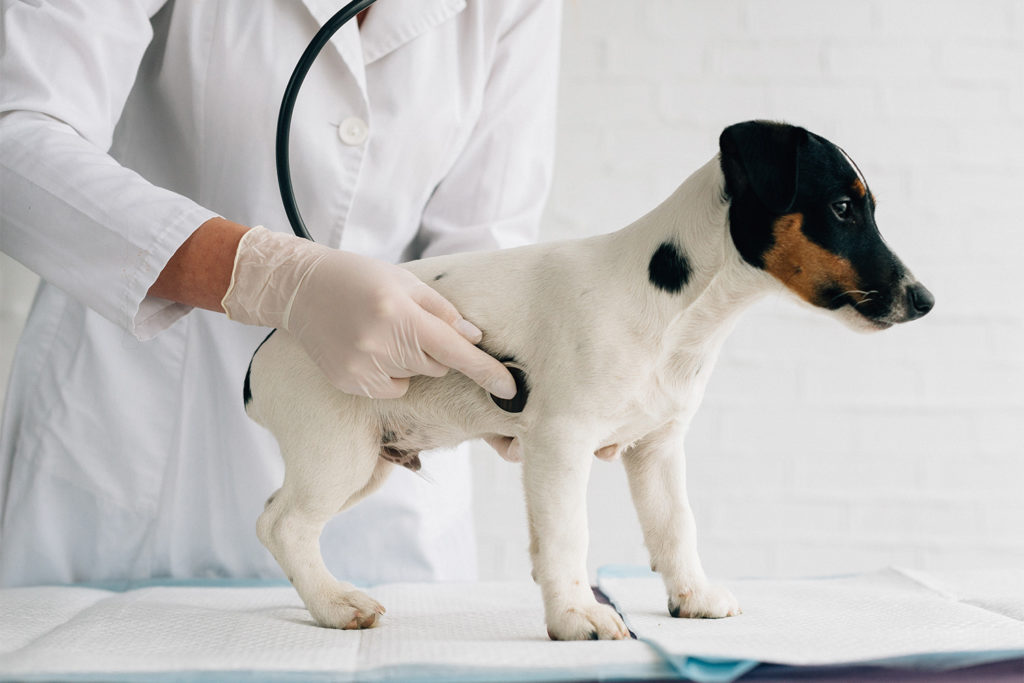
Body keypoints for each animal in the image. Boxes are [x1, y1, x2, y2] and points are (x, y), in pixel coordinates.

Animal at [243, 121, 933, 643]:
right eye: (842, 207)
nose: (925, 301)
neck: (678, 310)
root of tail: (269, 346)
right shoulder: (560, 444)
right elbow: (567, 536)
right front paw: (577, 615)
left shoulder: (658, 448)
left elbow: (674, 526)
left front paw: (692, 596)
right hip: (338, 452)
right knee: (284, 525)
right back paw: (335, 604)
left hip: (370, 461)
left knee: (281, 518)